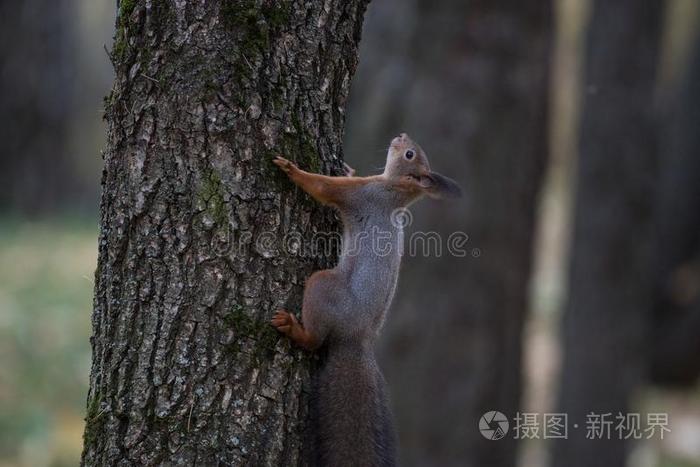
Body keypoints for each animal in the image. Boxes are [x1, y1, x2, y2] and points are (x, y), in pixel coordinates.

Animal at [268, 133, 460, 467]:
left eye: (409, 154)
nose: (401, 136)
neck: (393, 191)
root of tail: (356, 337)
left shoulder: (361, 194)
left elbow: (323, 188)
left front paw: (292, 169)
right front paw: (346, 168)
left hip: (323, 286)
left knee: (314, 340)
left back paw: (293, 328)